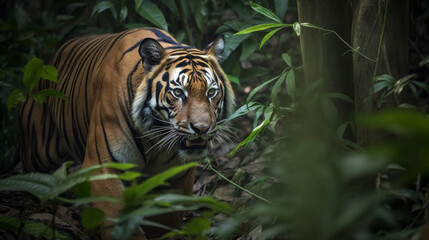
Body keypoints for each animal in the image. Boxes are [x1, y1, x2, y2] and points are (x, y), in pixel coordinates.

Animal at [17, 27, 234, 238]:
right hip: (39, 153)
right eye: (178, 92)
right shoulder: (103, 167)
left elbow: (165, 222)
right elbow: (120, 224)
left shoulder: (177, 174)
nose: (201, 128)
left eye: (211, 92)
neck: (154, 137)